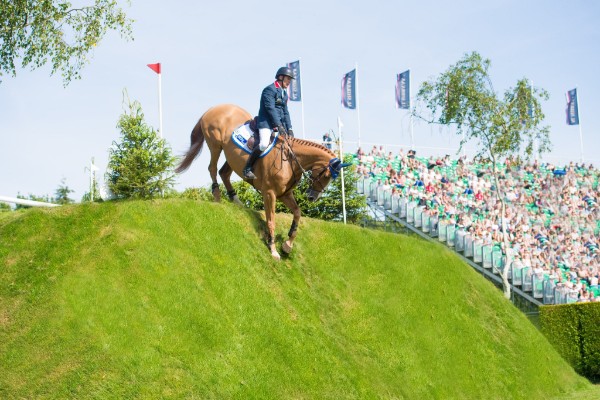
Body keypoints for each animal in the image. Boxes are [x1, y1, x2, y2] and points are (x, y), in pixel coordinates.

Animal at [176, 104, 350, 260]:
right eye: (326, 175)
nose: (312, 198)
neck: (291, 160)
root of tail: (214, 108)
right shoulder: (269, 193)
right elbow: (271, 221)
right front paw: (273, 250)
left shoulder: (285, 194)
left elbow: (297, 213)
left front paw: (287, 245)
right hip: (215, 145)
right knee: (212, 168)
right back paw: (217, 197)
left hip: (231, 156)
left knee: (224, 172)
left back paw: (237, 201)